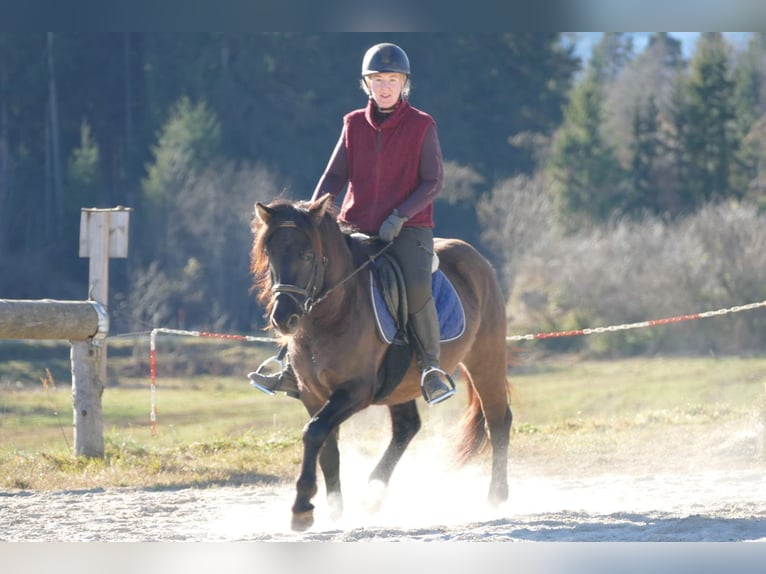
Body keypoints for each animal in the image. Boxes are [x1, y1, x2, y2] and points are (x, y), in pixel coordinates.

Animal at [252, 196, 516, 532]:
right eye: (271, 254)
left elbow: (314, 432)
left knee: (498, 420)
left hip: (485, 360)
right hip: (401, 384)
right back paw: (373, 495)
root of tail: (475, 257)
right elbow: (327, 447)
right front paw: (334, 510)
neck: (332, 314)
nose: (284, 318)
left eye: (307, 254)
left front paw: (302, 506)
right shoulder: (313, 395)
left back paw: (495, 496)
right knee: (407, 427)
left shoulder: (356, 390)